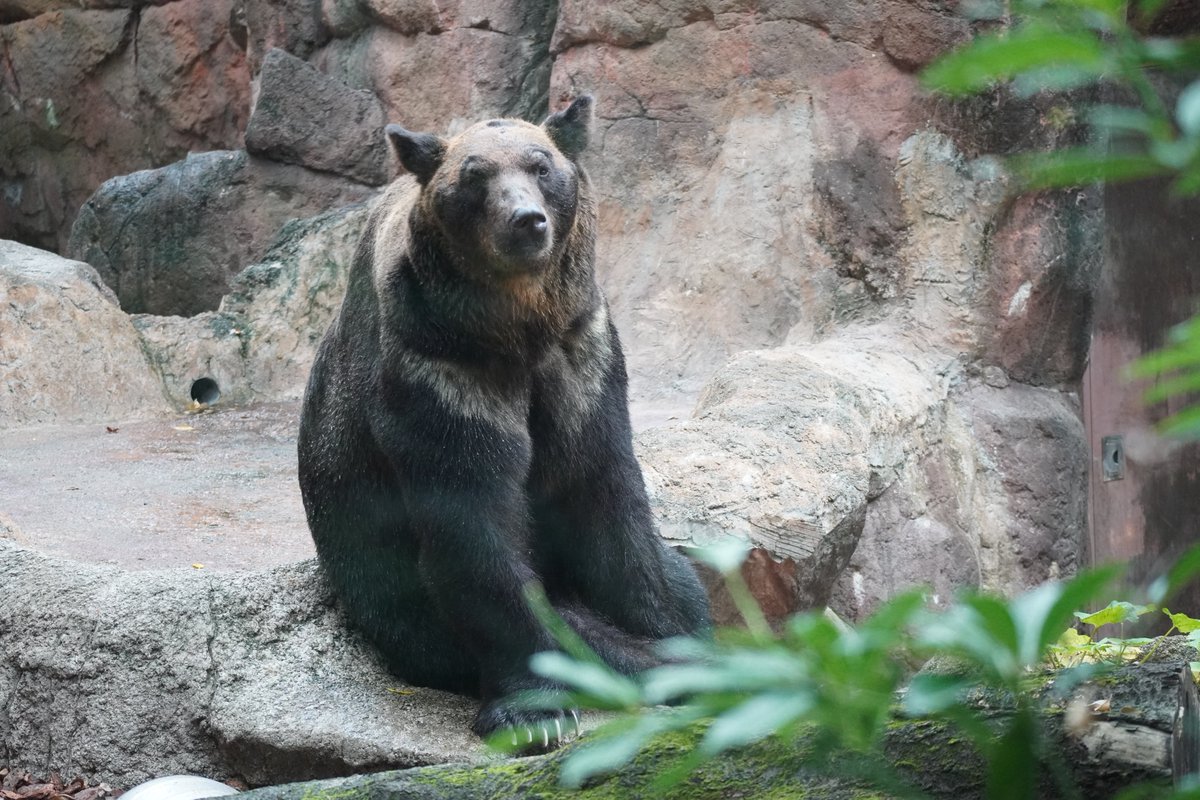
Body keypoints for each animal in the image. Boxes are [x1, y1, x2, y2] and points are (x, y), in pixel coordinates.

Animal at [297, 96, 712, 745]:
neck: (517, 330)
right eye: (475, 177)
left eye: (541, 165)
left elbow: (608, 503)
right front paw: (535, 711)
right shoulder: (440, 370)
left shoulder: (581, 357)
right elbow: (475, 521)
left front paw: (673, 636)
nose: (526, 221)